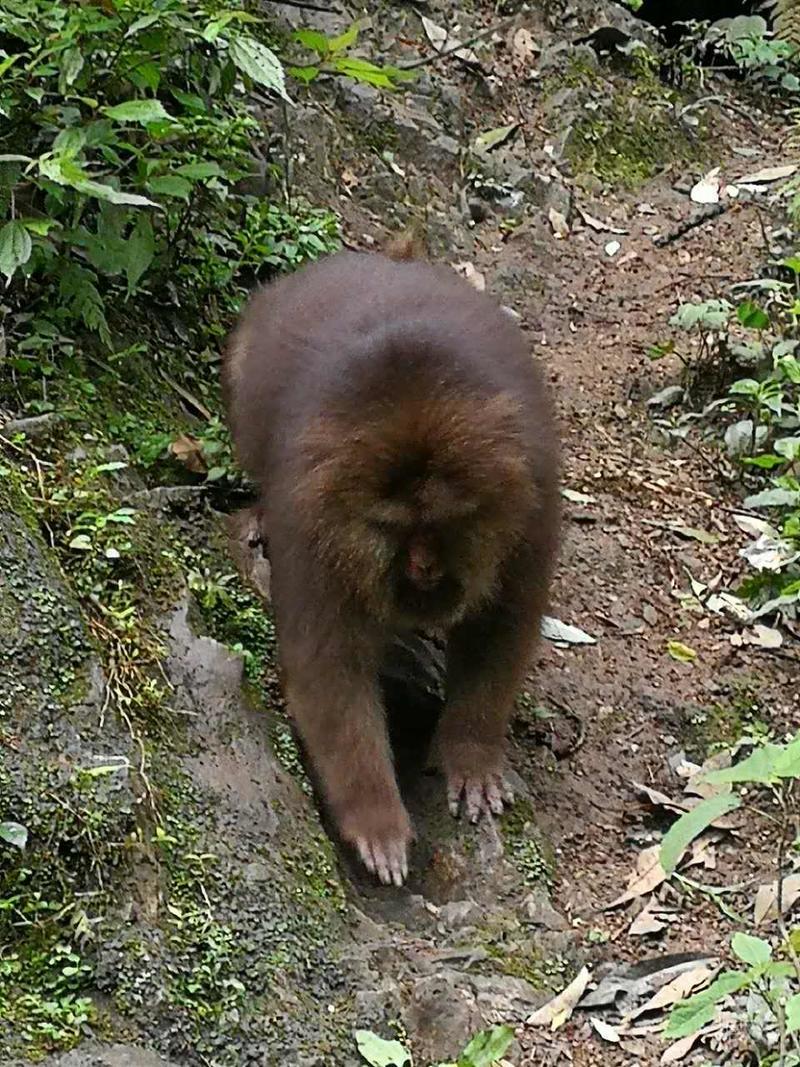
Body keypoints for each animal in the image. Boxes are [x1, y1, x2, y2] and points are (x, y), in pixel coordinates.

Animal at [222, 243, 560, 887]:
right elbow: (329, 670)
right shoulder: (314, 527)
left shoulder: (528, 503)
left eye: (443, 525)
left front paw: (470, 753)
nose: (424, 565)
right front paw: (375, 820)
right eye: (393, 529)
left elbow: (501, 629)